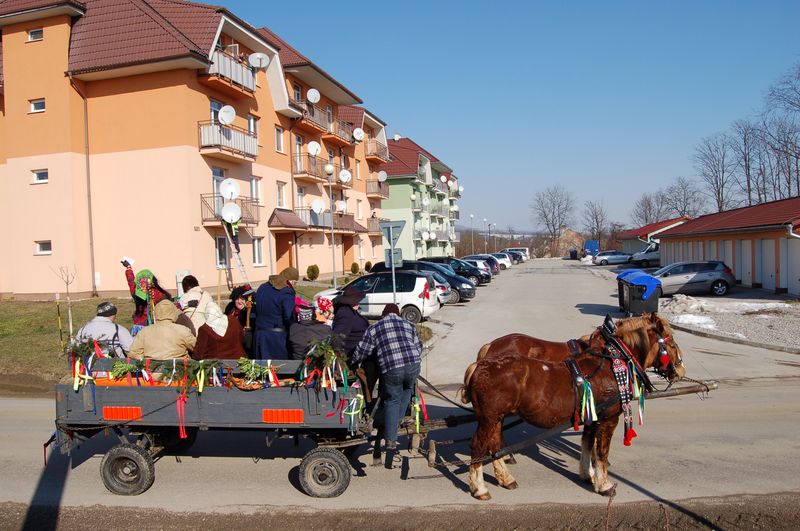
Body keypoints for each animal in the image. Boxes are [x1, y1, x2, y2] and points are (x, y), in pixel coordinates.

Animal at [461, 313, 685, 500]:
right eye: (672, 343)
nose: (681, 370)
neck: (613, 363)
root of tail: (481, 364)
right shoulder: (609, 418)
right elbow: (602, 453)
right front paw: (605, 485)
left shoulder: (593, 416)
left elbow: (587, 444)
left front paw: (588, 475)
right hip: (489, 417)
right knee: (478, 446)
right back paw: (480, 488)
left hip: (496, 417)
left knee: (494, 444)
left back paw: (506, 478)